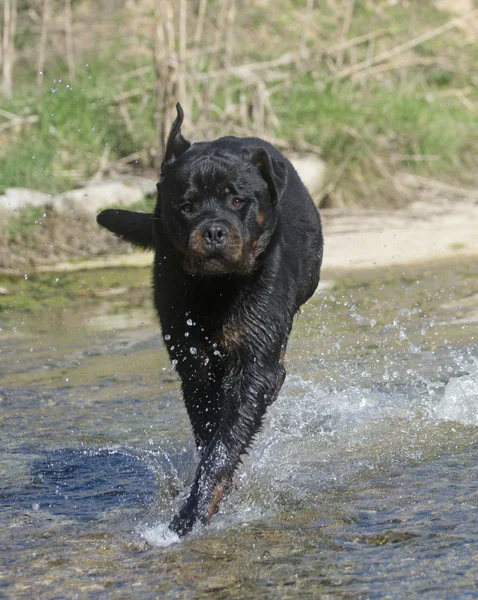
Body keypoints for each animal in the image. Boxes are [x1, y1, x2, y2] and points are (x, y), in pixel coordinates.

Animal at [97, 105, 324, 536]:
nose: (214, 230)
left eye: (237, 200)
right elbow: (209, 428)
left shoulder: (255, 357)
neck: (216, 289)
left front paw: (192, 514)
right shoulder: (192, 359)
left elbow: (226, 440)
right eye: (186, 205)